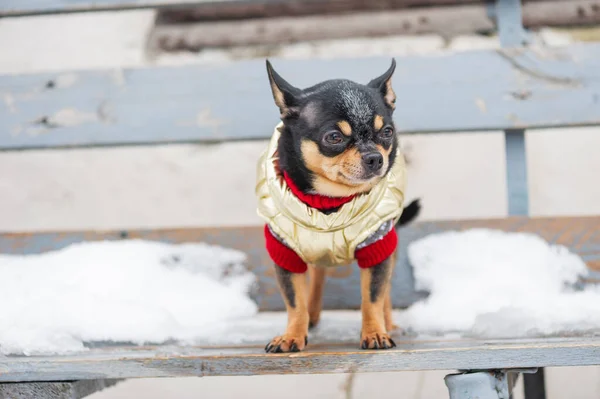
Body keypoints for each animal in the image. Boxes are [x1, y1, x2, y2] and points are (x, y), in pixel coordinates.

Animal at [255, 59, 420, 354]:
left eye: (387, 132)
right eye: (334, 137)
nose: (375, 157)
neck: (330, 202)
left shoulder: (378, 246)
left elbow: (373, 296)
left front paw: (375, 332)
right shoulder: (285, 253)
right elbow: (294, 301)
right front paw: (292, 335)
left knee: (385, 291)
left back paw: (389, 323)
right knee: (318, 275)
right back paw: (313, 315)